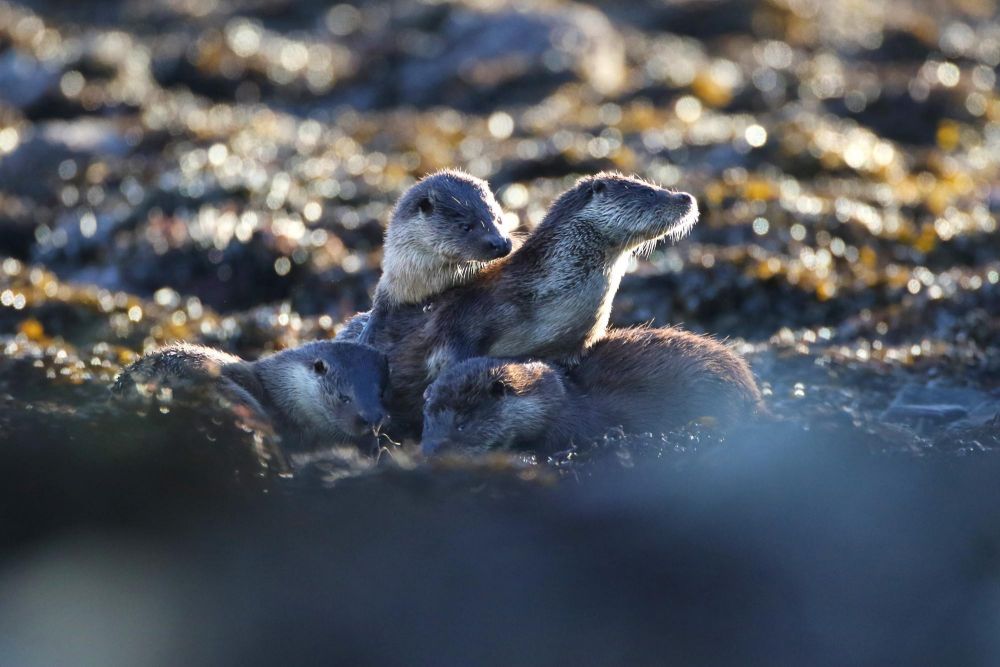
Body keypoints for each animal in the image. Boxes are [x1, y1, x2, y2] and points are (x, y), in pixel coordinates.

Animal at [344, 170, 516, 344]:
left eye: (498, 219)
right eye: (466, 226)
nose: (501, 243)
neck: (421, 281)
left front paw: (432, 303)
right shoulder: (390, 280)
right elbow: (379, 305)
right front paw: (366, 332)